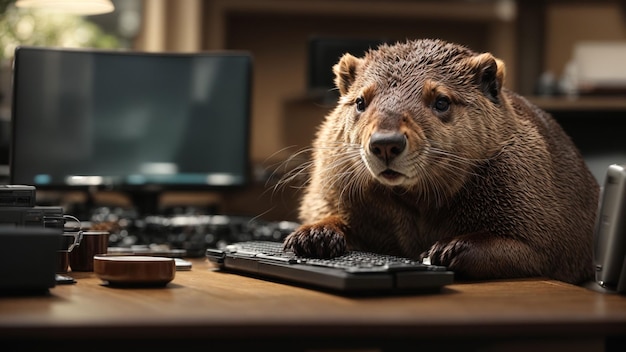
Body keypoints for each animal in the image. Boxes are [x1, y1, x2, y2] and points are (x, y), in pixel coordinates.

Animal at [280, 38, 596, 284]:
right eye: (360, 101)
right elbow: (328, 210)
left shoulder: (527, 180)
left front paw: (446, 250)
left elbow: (535, 247)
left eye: (441, 101)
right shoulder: (335, 175)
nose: (386, 143)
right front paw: (313, 236)